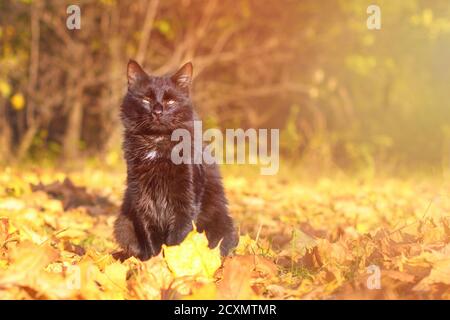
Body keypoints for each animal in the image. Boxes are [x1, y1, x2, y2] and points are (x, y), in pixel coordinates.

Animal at [114, 59, 237, 260]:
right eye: (146, 99)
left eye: (170, 101)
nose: (157, 111)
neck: (157, 144)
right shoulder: (141, 197)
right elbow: (150, 236)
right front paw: (152, 262)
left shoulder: (186, 200)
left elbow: (178, 238)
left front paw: (172, 263)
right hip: (122, 224)